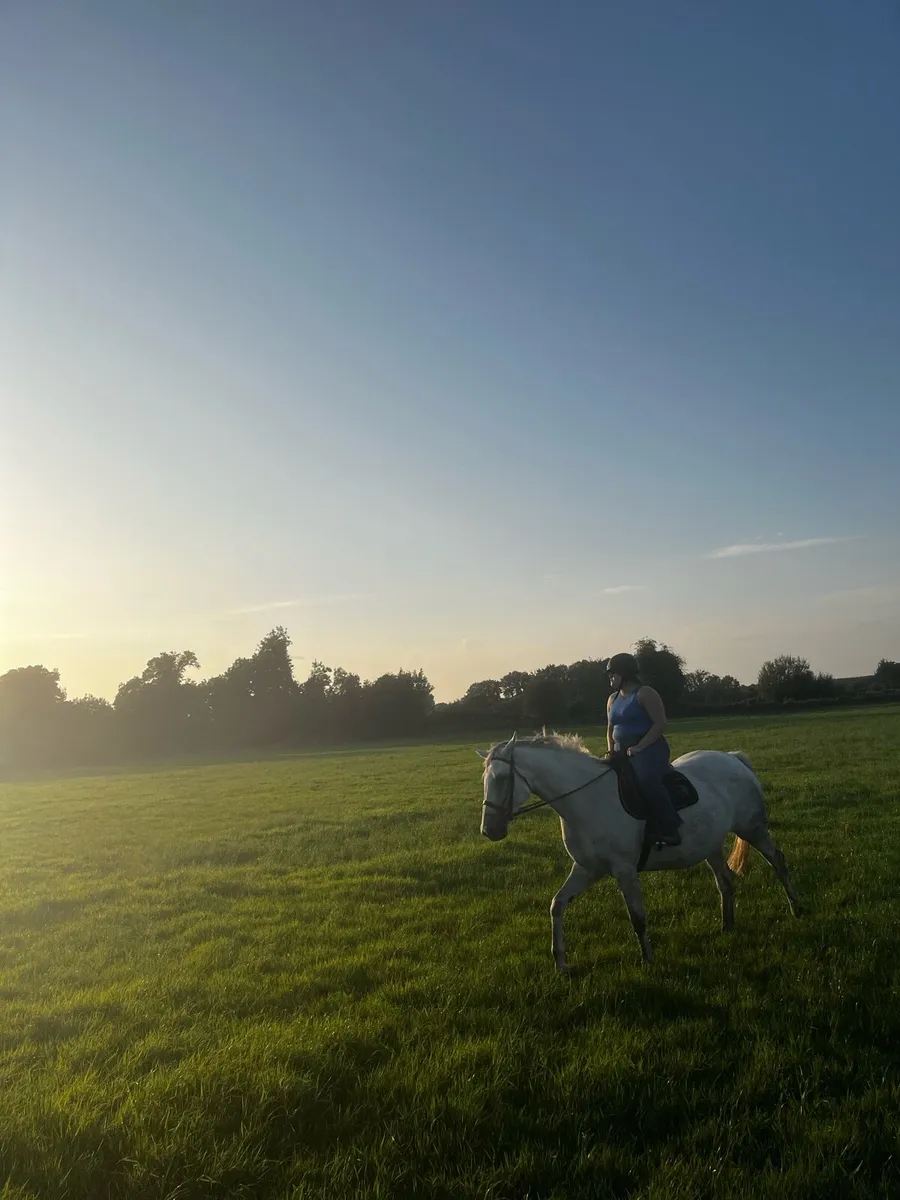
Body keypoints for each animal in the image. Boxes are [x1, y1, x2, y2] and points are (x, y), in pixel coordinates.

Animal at [478, 732, 801, 971]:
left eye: (502, 779)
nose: (489, 830)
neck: (589, 800)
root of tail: (733, 758)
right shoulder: (587, 869)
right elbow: (557, 905)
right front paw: (561, 962)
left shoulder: (625, 871)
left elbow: (637, 917)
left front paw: (648, 959)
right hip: (711, 845)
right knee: (726, 882)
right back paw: (727, 926)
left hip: (753, 829)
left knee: (778, 861)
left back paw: (797, 909)